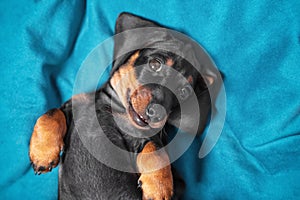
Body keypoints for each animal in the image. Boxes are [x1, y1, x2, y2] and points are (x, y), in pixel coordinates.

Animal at [29, 12, 217, 200]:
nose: (157, 114)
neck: (118, 112)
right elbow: (51, 114)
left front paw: (158, 187)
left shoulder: (176, 179)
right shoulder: (74, 105)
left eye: (184, 92)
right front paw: (43, 153)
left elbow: (156, 150)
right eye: (155, 64)